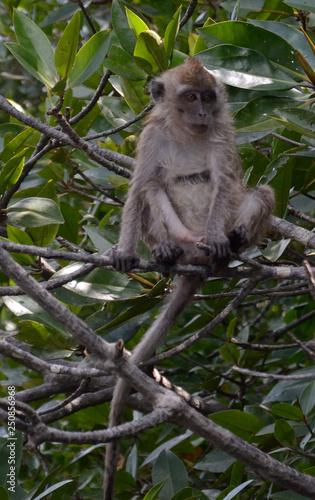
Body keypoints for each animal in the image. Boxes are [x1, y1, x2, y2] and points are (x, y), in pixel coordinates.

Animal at [104, 56, 276, 498]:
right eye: (190, 97)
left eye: (209, 98)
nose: (202, 113)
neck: (184, 132)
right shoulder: (150, 136)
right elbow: (139, 187)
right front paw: (125, 251)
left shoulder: (223, 133)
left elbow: (226, 181)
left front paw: (221, 237)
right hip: (178, 234)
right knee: (152, 189)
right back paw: (169, 252)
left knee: (260, 193)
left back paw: (228, 245)